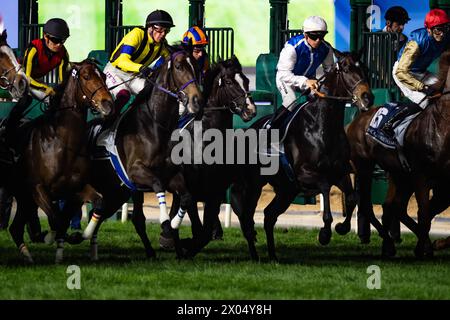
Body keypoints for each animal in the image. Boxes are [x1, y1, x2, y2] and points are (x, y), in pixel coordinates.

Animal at [81, 48, 204, 260]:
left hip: (118, 192)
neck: (156, 125)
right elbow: (157, 184)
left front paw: (174, 227)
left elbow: (187, 197)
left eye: (196, 66)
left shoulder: (172, 174)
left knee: (107, 213)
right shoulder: (137, 172)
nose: (196, 100)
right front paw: (165, 221)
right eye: (178, 66)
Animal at [230, 49, 374, 260]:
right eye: (346, 69)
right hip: (253, 185)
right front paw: (325, 233)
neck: (322, 127)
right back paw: (255, 255)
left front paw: (342, 227)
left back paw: (272, 256)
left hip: (287, 190)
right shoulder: (304, 174)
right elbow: (324, 186)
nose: (367, 98)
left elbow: (352, 197)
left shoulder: (340, 172)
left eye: (364, 68)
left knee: (269, 215)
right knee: (246, 215)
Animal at [342, 48, 450, 256]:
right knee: (368, 204)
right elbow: (424, 214)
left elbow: (427, 213)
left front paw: (429, 245)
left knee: (392, 206)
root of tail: (355, 121)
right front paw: (424, 248)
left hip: (398, 174)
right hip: (365, 166)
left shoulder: (442, 184)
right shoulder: (421, 177)